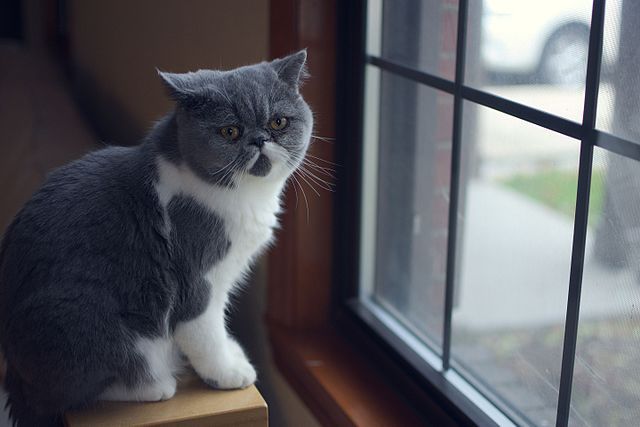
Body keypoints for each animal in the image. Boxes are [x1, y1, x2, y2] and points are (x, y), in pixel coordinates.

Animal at [0, 48, 312, 426]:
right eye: (230, 131)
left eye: (279, 123)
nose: (260, 139)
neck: (244, 198)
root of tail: (16, 380)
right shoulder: (196, 276)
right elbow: (204, 330)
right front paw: (227, 373)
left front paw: (232, 351)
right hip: (81, 318)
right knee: (79, 392)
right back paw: (156, 383)